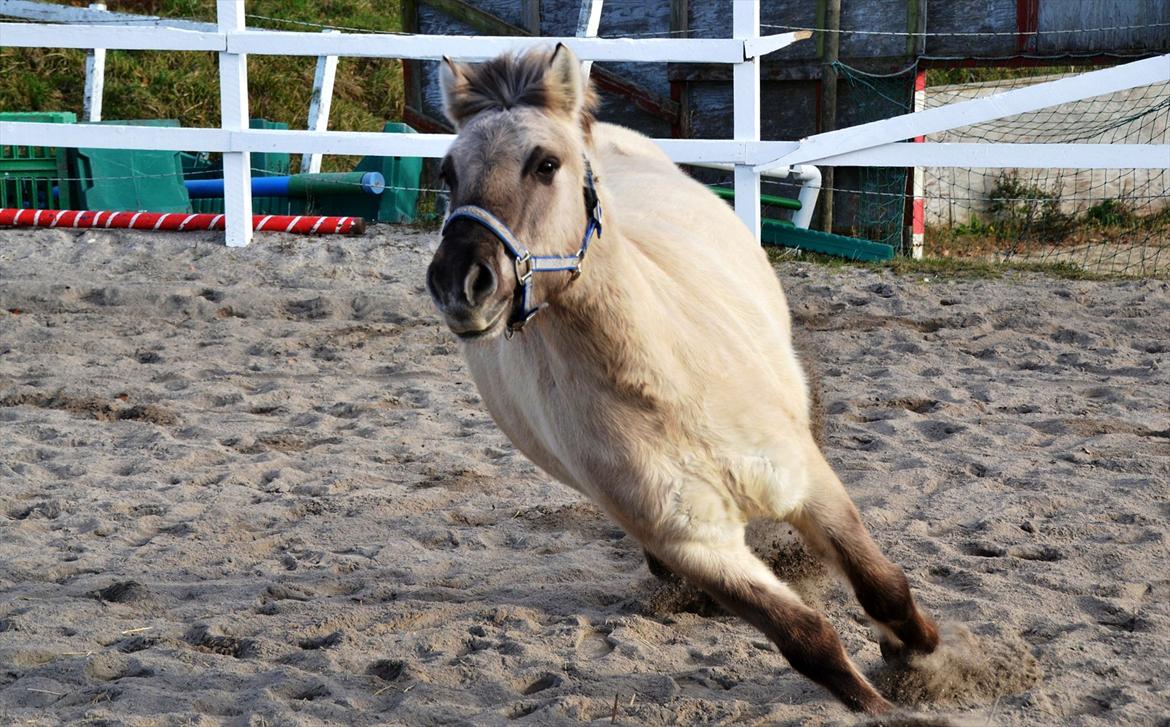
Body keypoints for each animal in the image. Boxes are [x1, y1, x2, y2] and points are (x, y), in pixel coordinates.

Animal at [425, 42, 935, 711]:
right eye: (448, 174)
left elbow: (881, 585)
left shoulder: (807, 483)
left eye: (545, 164)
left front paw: (921, 657)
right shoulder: (697, 546)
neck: (666, 388)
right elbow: (809, 642)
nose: (459, 284)